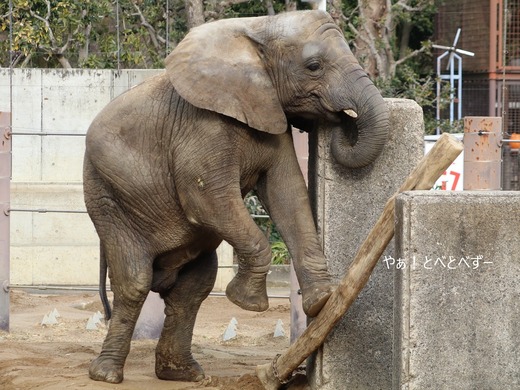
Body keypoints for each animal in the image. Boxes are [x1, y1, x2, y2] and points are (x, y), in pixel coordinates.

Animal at [82, 9, 390, 384]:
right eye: (314, 66)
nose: (343, 124)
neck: (258, 28)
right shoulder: (202, 127)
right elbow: (208, 199)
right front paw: (247, 303)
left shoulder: (270, 114)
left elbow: (288, 193)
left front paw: (323, 301)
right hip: (106, 195)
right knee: (135, 281)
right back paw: (107, 374)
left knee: (192, 288)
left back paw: (183, 374)